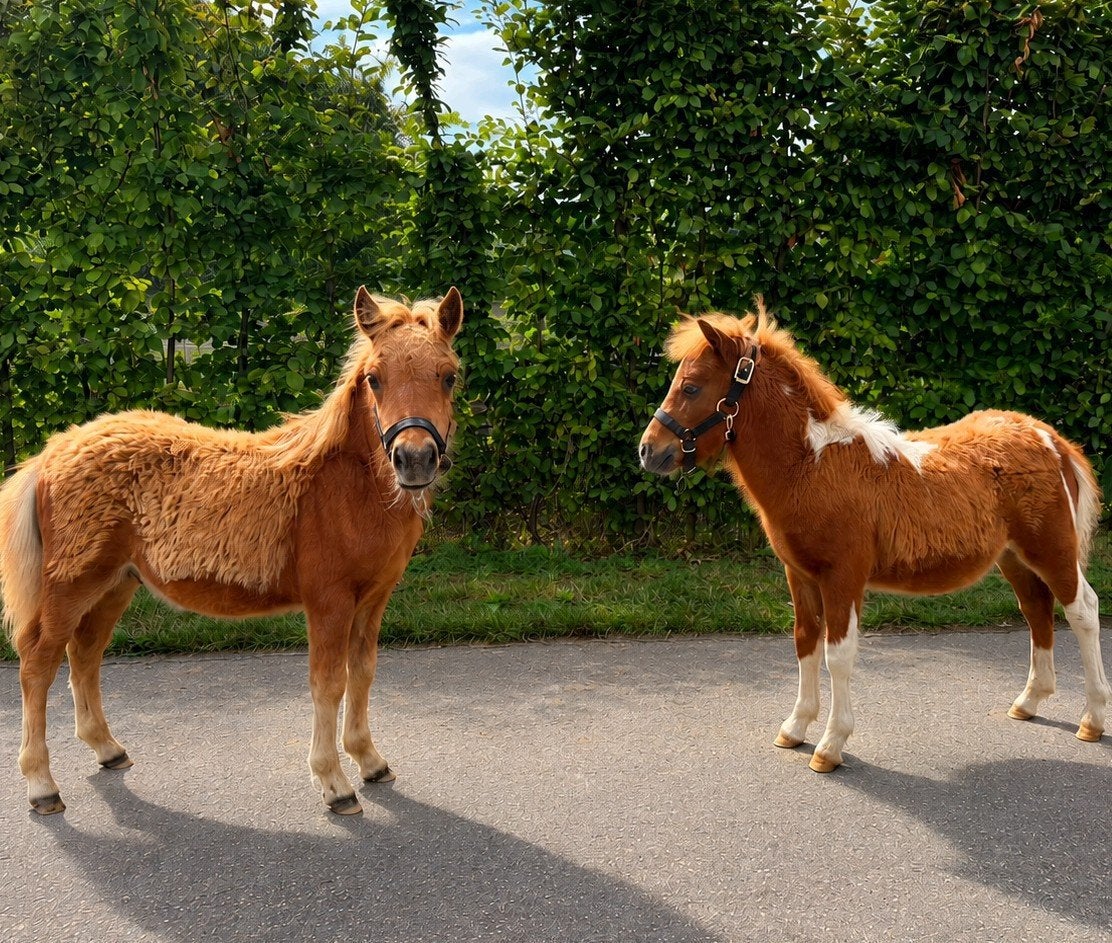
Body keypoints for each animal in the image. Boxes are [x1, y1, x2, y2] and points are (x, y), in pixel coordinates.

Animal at [0, 286, 463, 815]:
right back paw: (41, 783)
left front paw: (369, 759)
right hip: (70, 586)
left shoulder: (373, 598)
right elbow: (329, 683)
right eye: (375, 379)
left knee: (85, 653)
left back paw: (107, 748)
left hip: (114, 584)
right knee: (38, 663)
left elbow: (363, 673)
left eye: (448, 376)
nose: (414, 459)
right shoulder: (329, 602)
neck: (345, 485)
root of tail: (54, 450)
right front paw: (334, 781)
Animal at [639, 301, 1109, 773]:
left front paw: (830, 746)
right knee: (1036, 609)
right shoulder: (800, 574)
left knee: (1082, 610)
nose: (648, 450)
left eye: (692, 388)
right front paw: (795, 727)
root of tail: (1051, 438)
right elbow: (804, 640)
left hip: (1052, 549)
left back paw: (1092, 719)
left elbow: (838, 655)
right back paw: (1029, 701)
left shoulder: (843, 576)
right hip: (1014, 557)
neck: (812, 466)